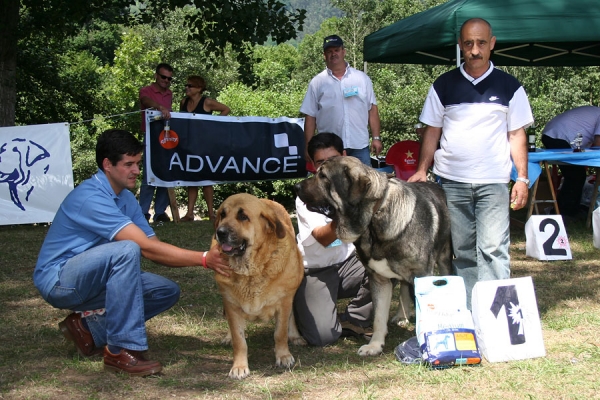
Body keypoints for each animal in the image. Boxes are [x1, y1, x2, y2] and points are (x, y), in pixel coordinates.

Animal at [212, 194, 308, 378]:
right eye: (222, 214)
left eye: (243, 216)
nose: (220, 232)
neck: (251, 271)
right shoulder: (231, 304)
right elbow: (239, 339)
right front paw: (239, 366)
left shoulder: (284, 302)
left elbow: (280, 333)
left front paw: (283, 356)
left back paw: (295, 336)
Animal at [296, 155, 450, 356]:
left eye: (323, 176)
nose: (296, 186)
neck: (375, 216)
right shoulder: (378, 278)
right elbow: (378, 317)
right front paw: (375, 345)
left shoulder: (422, 276)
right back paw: (401, 315)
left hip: (445, 259)